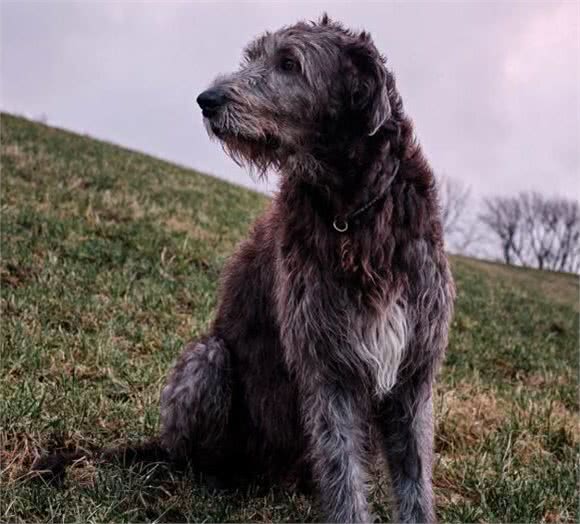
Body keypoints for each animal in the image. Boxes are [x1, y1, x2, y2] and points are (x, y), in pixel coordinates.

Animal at [34, 13, 456, 524]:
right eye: (252, 57)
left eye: (290, 63)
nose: (207, 100)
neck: (354, 215)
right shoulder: (328, 366)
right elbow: (344, 480)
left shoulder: (413, 369)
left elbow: (414, 481)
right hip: (207, 360)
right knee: (195, 450)